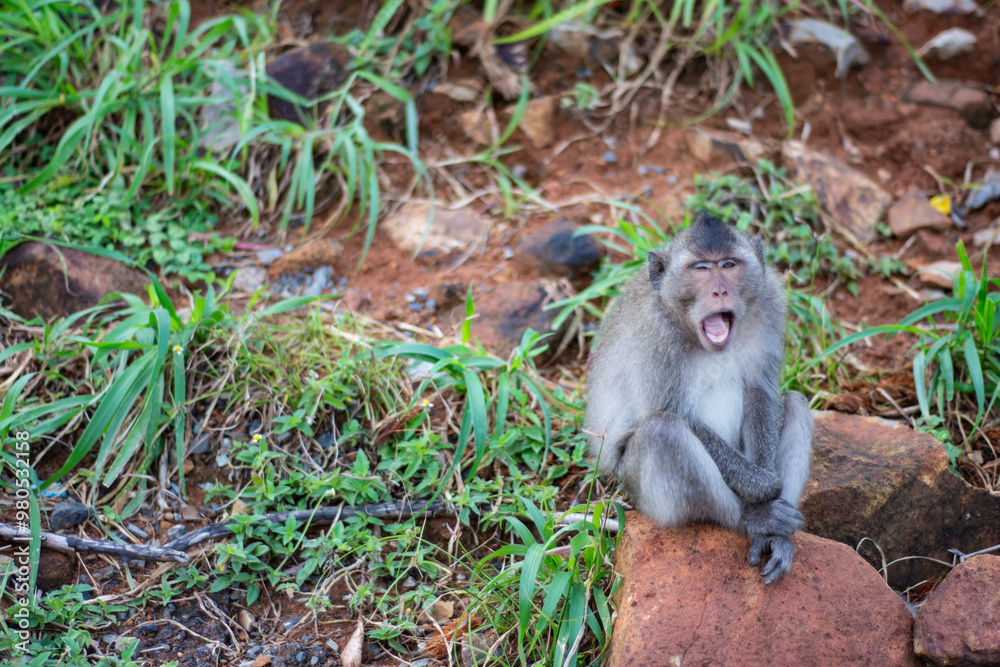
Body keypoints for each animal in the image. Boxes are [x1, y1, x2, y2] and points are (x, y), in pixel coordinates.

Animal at [585, 213, 813, 584]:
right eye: (701, 268)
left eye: (729, 265)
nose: (720, 290)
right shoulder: (656, 332)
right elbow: (670, 413)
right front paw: (764, 488)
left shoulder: (769, 303)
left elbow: (761, 390)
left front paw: (768, 481)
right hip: (638, 492)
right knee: (663, 432)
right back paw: (752, 519)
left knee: (793, 402)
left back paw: (775, 539)